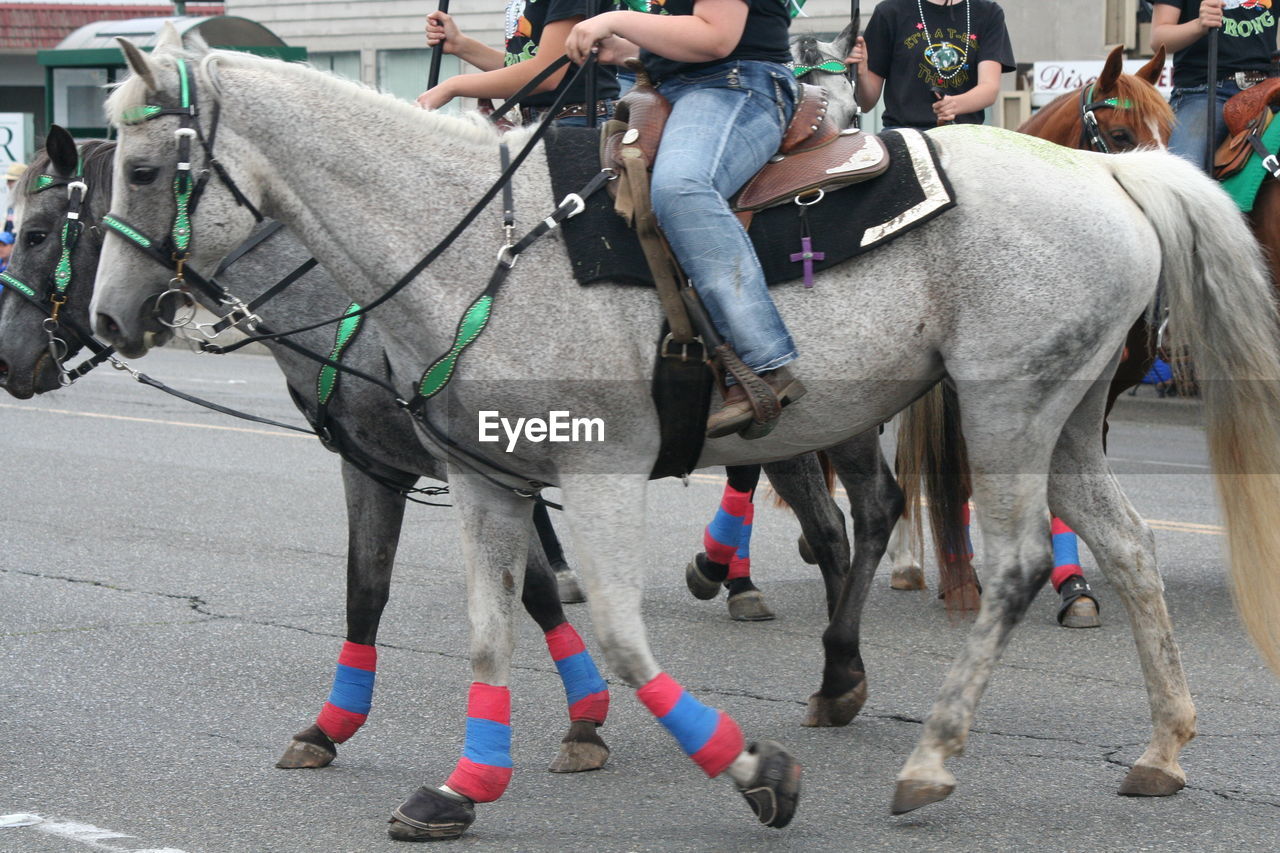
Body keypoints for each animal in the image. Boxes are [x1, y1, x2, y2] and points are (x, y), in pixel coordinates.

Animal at [94, 34, 1280, 835]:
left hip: (1005, 408)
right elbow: (487, 627)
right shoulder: (484, 476)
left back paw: (929, 759)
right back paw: (1162, 744)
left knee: (1015, 560)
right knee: (1127, 547)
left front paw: (754, 774)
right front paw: (464, 784)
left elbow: (619, 636)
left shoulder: (599, 470)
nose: (106, 319)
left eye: (143, 170)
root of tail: (1112, 171)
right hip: (1066, 414)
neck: (478, 242)